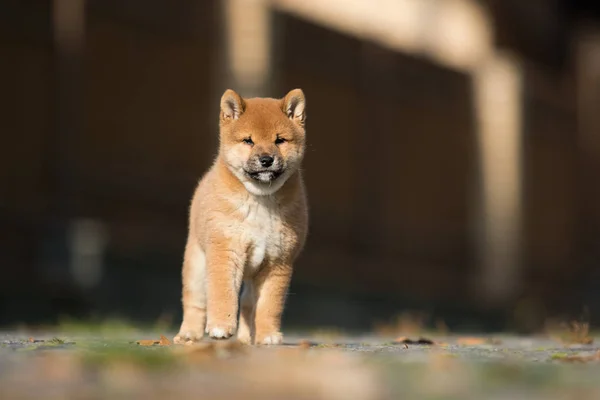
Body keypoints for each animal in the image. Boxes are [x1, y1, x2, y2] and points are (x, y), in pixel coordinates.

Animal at [172, 89, 304, 346]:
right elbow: (222, 294)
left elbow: (269, 305)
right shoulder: (226, 251)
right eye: (248, 140)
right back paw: (189, 334)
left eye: (279, 140)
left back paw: (245, 338)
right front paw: (221, 327)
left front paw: (268, 335)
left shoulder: (278, 262)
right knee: (195, 303)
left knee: (248, 305)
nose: (266, 159)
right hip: (196, 265)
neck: (261, 200)